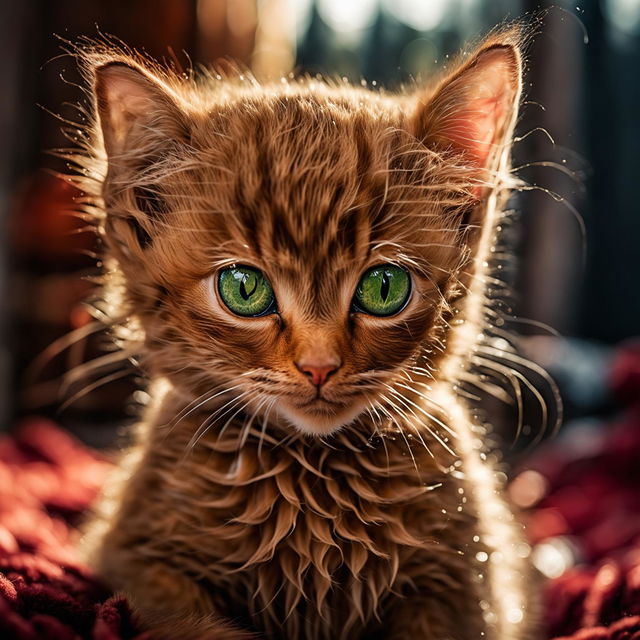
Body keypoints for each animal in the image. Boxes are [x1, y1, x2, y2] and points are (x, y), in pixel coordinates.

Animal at [77, 25, 544, 640]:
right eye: (244, 288)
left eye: (385, 287)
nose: (319, 366)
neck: (310, 478)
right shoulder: (135, 560)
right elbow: (189, 623)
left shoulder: (469, 587)